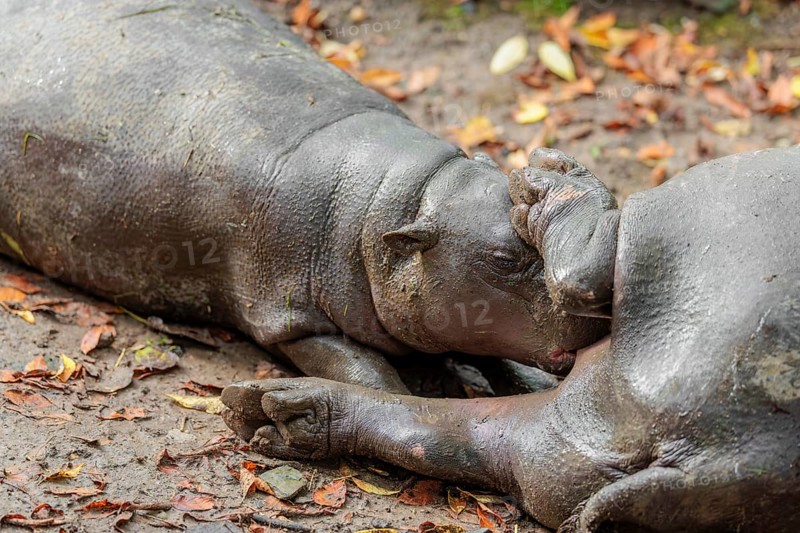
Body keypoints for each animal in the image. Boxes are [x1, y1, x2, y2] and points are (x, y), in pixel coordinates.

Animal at [0, 0, 606, 394]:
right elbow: (371, 378)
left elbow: (499, 357)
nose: (602, 301)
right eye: (503, 258)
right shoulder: (287, 315)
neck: (390, 206)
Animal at [223, 146, 800, 532]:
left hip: (680, 235)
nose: (544, 154)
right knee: (476, 436)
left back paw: (271, 411)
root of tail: (716, 456)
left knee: (582, 264)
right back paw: (277, 414)